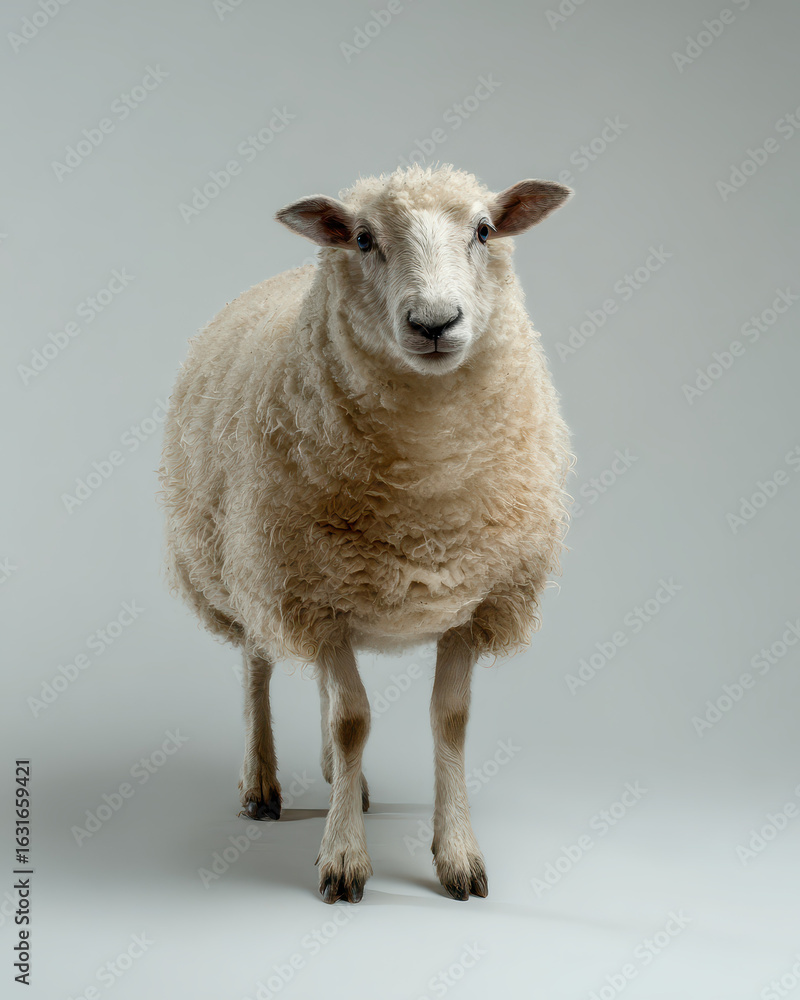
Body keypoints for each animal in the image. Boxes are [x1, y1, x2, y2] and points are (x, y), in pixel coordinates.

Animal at [159, 164, 572, 903]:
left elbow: (447, 720)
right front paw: (343, 857)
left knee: (328, 696)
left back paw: (339, 781)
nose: (434, 323)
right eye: (361, 238)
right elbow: (353, 721)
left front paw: (457, 853)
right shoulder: (310, 595)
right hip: (249, 562)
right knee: (259, 667)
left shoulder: (472, 599)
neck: (426, 482)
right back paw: (261, 783)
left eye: (484, 231)